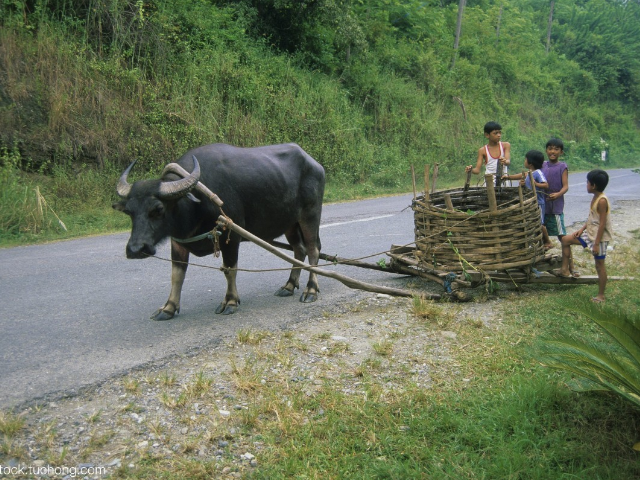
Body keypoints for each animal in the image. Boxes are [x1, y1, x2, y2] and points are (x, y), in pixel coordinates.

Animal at [112, 144, 324, 320]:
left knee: (313, 250)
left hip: (310, 215)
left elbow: (230, 269)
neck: (196, 202)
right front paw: (168, 308)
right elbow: (176, 275)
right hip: (290, 223)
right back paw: (289, 286)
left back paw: (311, 290)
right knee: (298, 250)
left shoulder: (232, 236)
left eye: (158, 209)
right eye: (129, 211)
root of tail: (316, 165)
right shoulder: (178, 241)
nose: (136, 249)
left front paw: (230, 301)